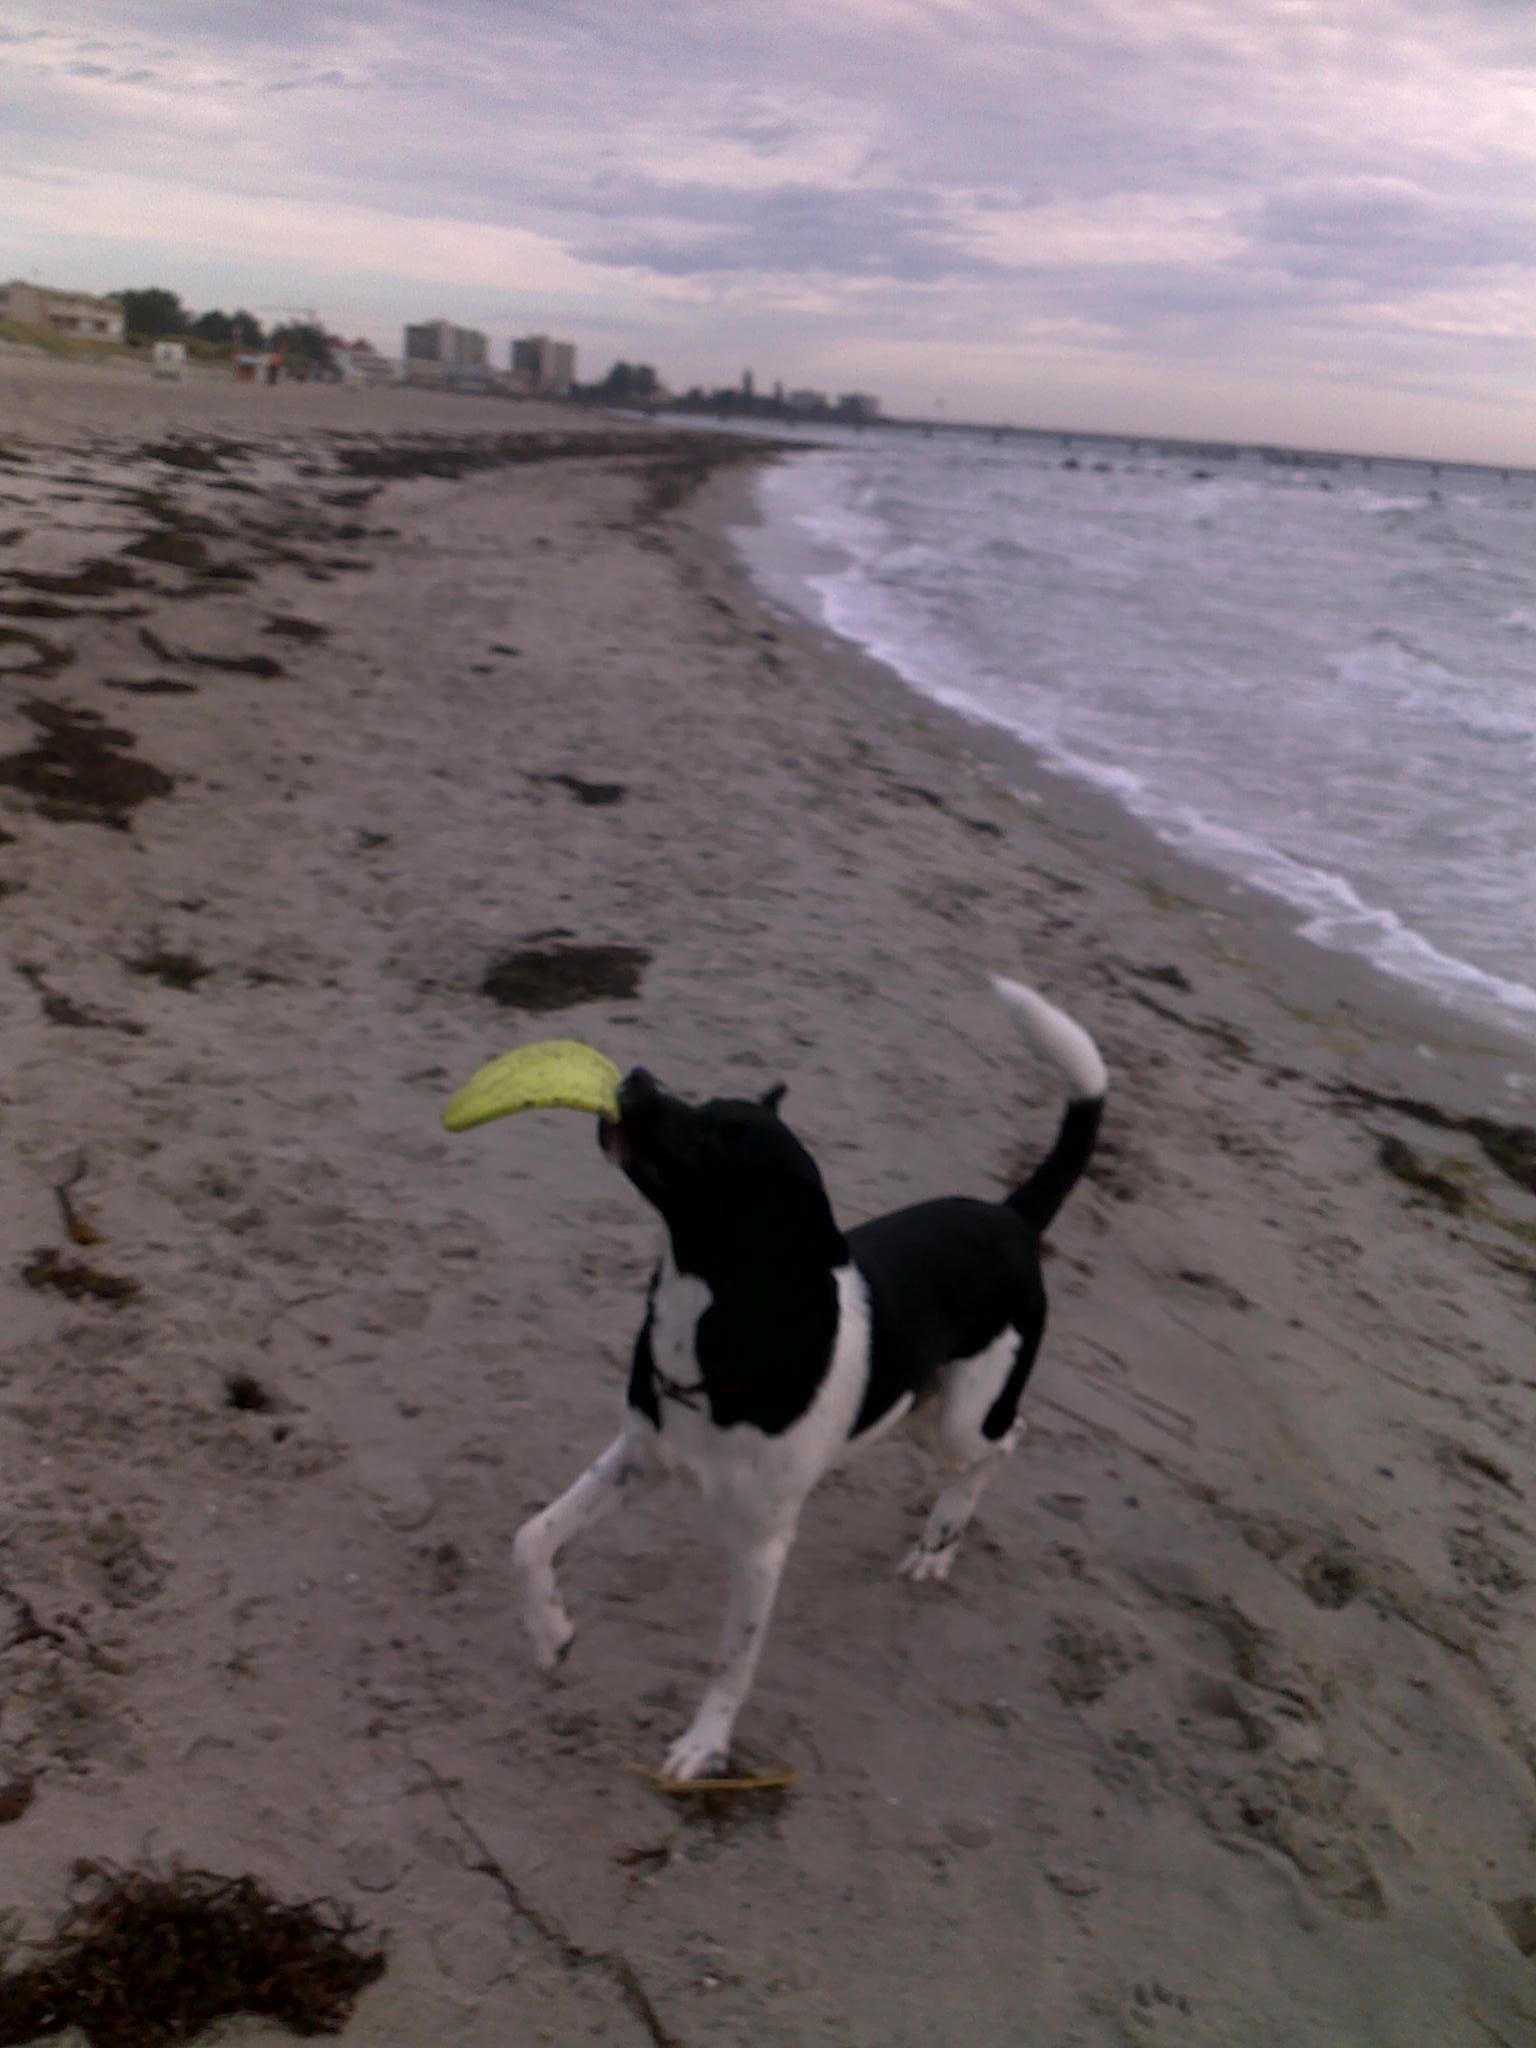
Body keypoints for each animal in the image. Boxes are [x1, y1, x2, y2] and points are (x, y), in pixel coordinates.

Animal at [514, 974, 1105, 1777]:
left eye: (724, 1141)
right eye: (705, 1103)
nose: (633, 1078)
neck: (714, 1327)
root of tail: (1011, 1216)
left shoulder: (762, 1548)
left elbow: (733, 1661)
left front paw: (705, 1746)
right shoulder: (640, 1456)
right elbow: (532, 1538)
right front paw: (551, 1636)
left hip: (960, 1414)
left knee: (1005, 1441)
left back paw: (941, 1543)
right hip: (916, 1406)